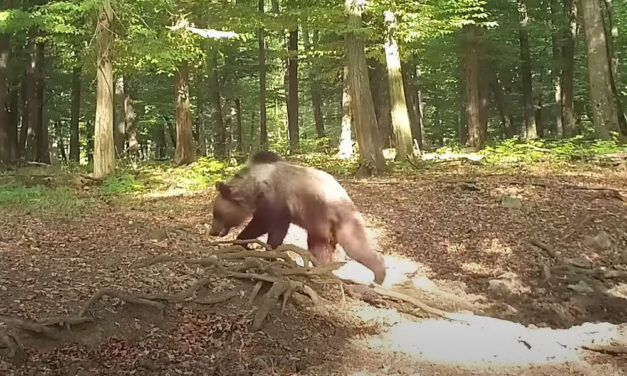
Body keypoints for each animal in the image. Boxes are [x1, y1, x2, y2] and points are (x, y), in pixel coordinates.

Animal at [211, 151, 386, 284]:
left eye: (216, 213)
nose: (212, 231)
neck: (255, 189)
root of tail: (346, 196)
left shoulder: (277, 203)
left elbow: (270, 228)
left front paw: (267, 252)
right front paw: (244, 244)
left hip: (334, 217)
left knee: (355, 246)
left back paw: (379, 275)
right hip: (322, 225)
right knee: (320, 247)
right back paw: (321, 268)